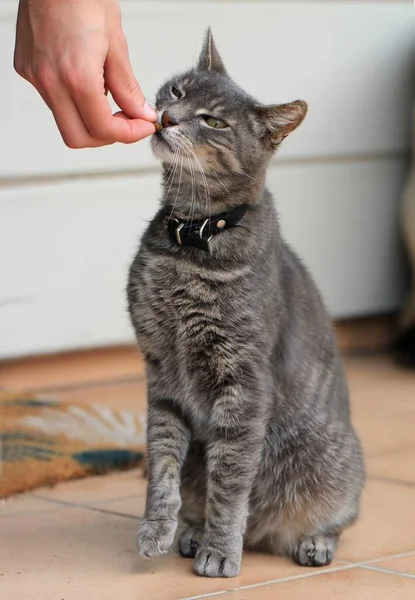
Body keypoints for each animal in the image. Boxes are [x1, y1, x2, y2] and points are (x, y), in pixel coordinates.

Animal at [128, 30, 366, 580]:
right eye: (177, 91)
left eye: (214, 121)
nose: (167, 117)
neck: (191, 241)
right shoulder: (161, 373)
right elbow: (163, 463)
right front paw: (157, 527)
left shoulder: (243, 384)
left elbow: (232, 482)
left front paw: (221, 550)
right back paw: (191, 532)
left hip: (334, 463)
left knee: (335, 518)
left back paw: (310, 542)